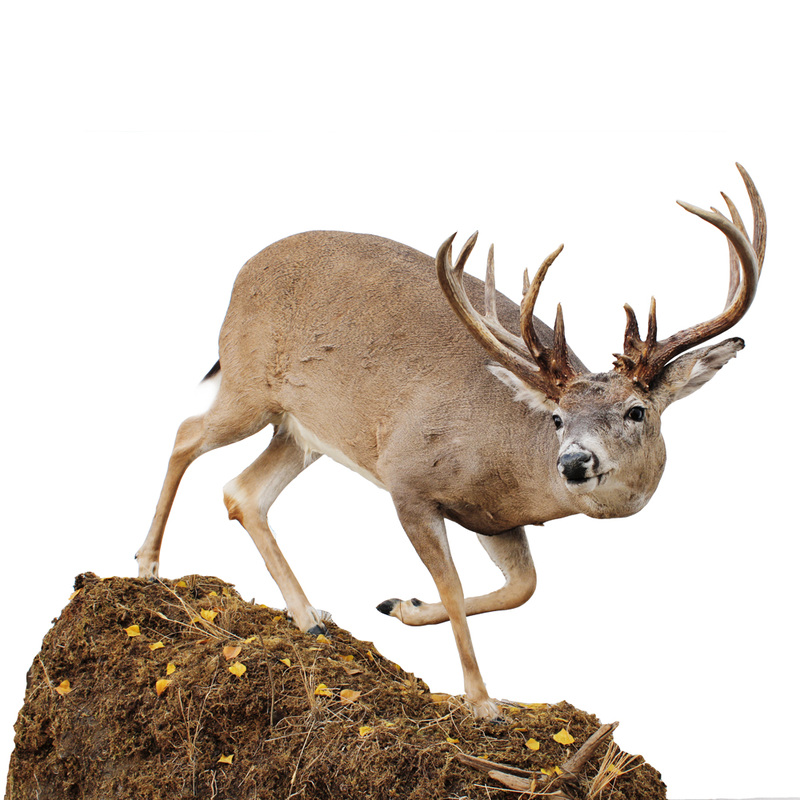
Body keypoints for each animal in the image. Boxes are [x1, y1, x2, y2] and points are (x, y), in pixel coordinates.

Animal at [136, 164, 765, 721]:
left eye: (636, 411)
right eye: (558, 419)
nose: (574, 462)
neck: (515, 463)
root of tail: (243, 269)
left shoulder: (496, 519)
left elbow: (522, 588)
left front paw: (401, 605)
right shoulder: (408, 478)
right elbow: (459, 587)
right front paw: (483, 703)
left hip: (302, 430)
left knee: (243, 491)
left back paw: (310, 615)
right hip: (247, 386)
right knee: (186, 435)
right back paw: (148, 565)